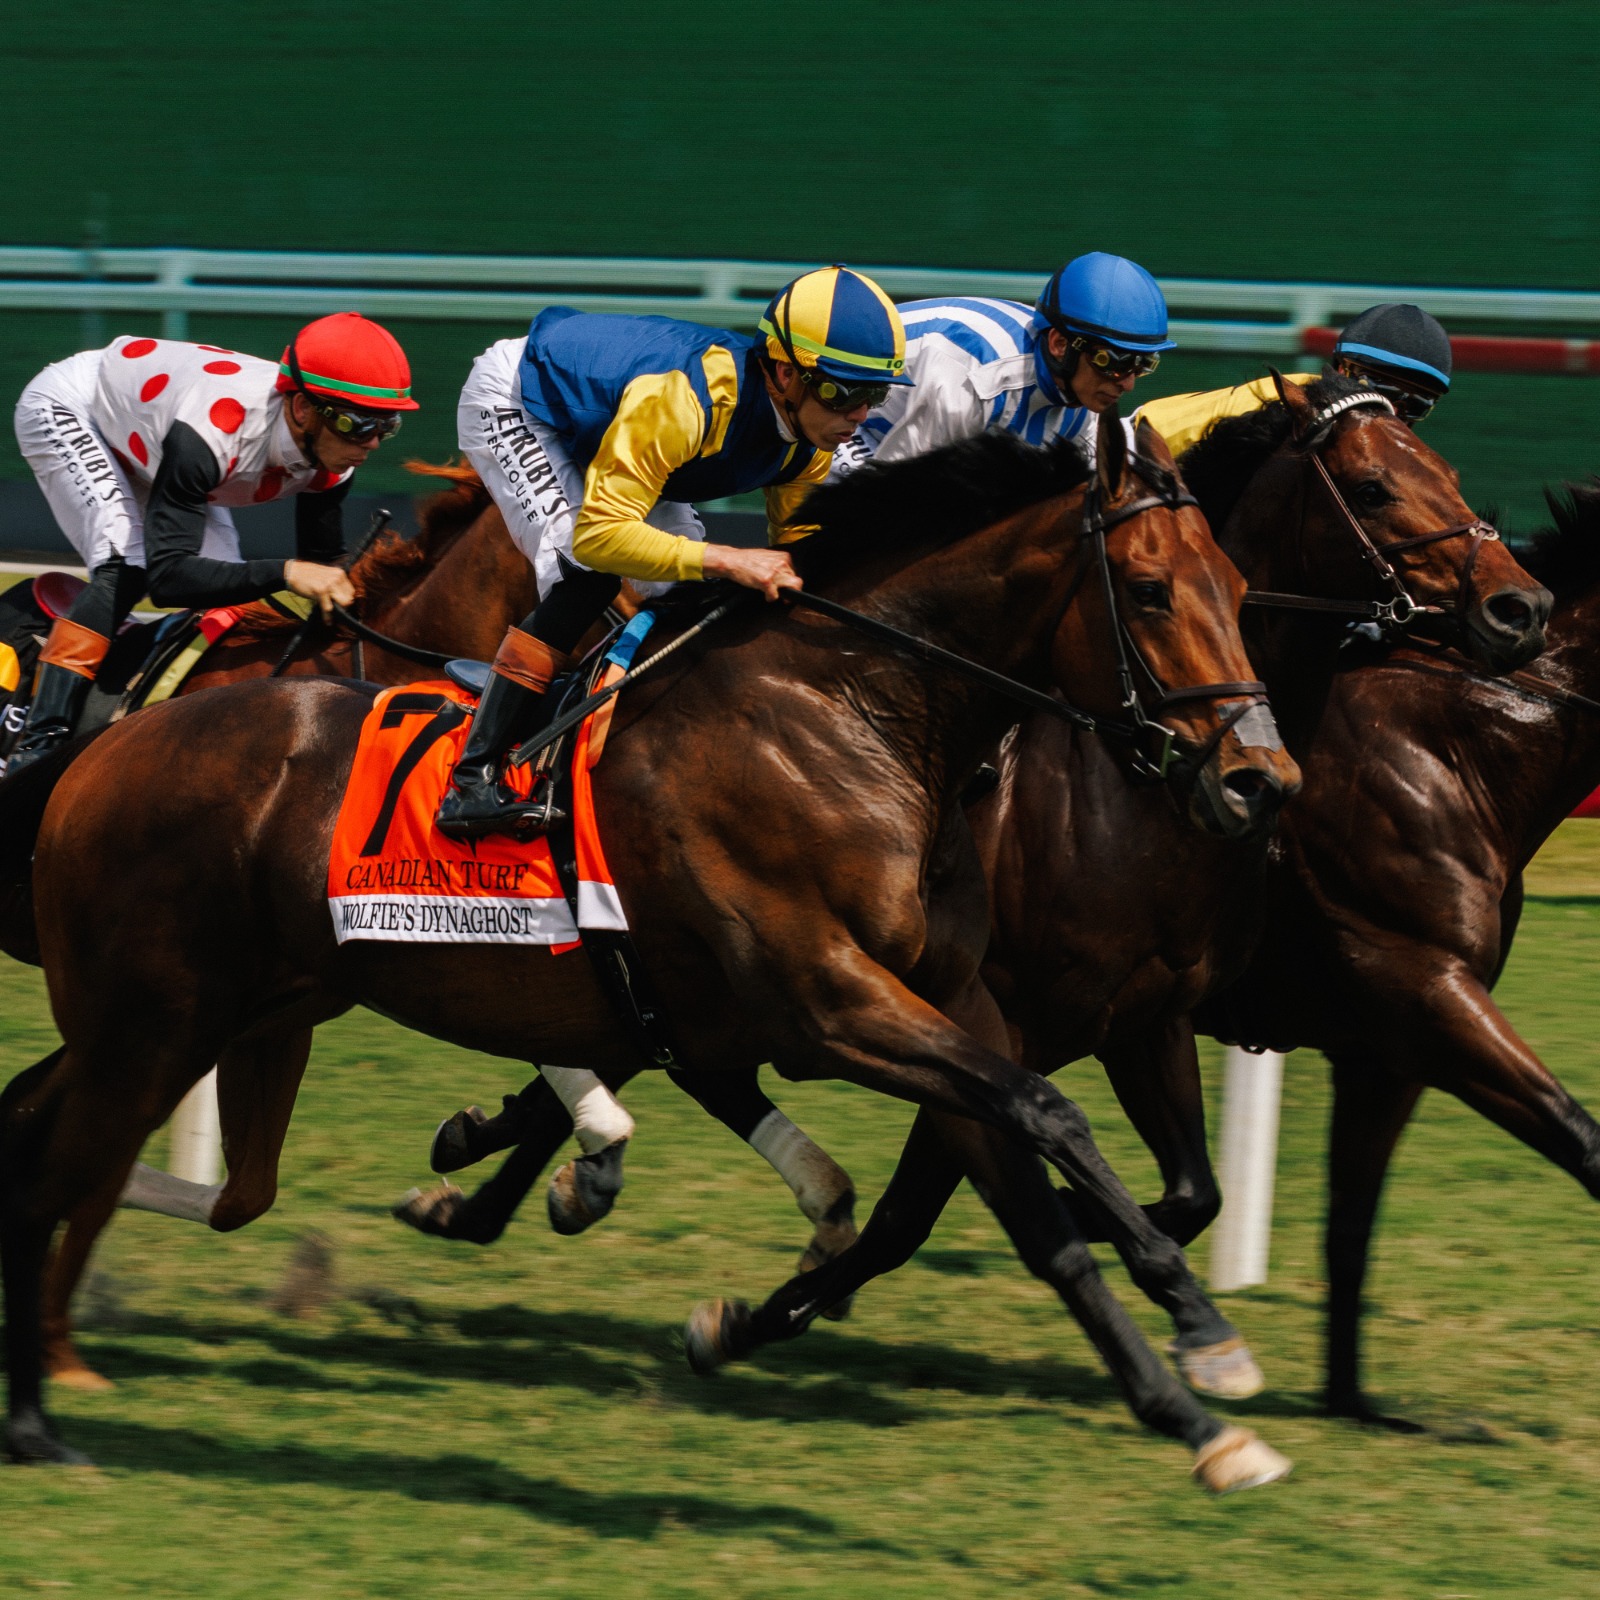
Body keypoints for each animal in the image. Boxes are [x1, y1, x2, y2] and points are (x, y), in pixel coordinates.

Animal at [0, 413, 1299, 1490]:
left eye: (1238, 584)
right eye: (1148, 589)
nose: (1261, 781)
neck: (853, 716)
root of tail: (101, 755)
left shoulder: (953, 1009)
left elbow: (1037, 1197)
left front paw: (1197, 1406)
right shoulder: (831, 1005)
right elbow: (1039, 1112)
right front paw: (1194, 1325)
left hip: (206, 1015)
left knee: (50, 1134)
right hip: (154, 1021)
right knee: (65, 1168)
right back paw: (38, 1414)